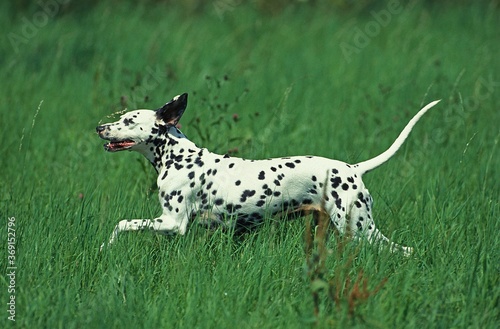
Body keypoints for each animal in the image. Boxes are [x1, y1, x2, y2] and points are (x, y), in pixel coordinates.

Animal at [95, 93, 440, 254]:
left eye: (128, 120)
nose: (100, 127)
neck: (180, 157)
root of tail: (352, 169)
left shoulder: (171, 223)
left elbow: (121, 224)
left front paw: (104, 246)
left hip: (360, 229)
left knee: (404, 251)